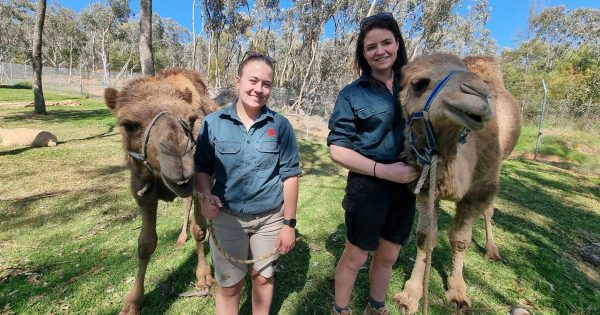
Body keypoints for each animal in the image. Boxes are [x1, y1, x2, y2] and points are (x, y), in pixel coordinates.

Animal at [105, 68, 218, 314]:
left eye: (192, 119)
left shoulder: (199, 184)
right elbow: (145, 244)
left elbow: (199, 230)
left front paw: (204, 277)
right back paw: (181, 237)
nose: (179, 154)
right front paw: (132, 303)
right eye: (128, 125)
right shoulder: (143, 193)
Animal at [392, 54, 524, 314]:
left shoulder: (479, 189)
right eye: (418, 84)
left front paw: (458, 292)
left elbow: (461, 239)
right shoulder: (427, 186)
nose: (479, 94)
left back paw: (492, 251)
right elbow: (426, 237)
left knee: (489, 211)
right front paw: (410, 294)